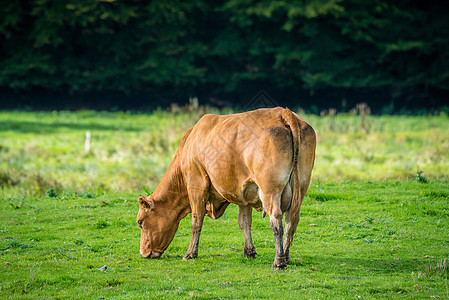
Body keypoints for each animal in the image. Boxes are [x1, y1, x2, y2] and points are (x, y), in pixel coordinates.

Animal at [136, 106, 316, 268]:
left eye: (140, 222)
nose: (143, 253)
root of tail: (284, 112)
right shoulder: (245, 194)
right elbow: (244, 222)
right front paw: (249, 251)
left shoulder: (196, 185)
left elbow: (196, 221)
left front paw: (190, 254)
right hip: (301, 187)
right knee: (291, 220)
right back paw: (286, 257)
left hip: (270, 189)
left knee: (276, 219)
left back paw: (279, 261)